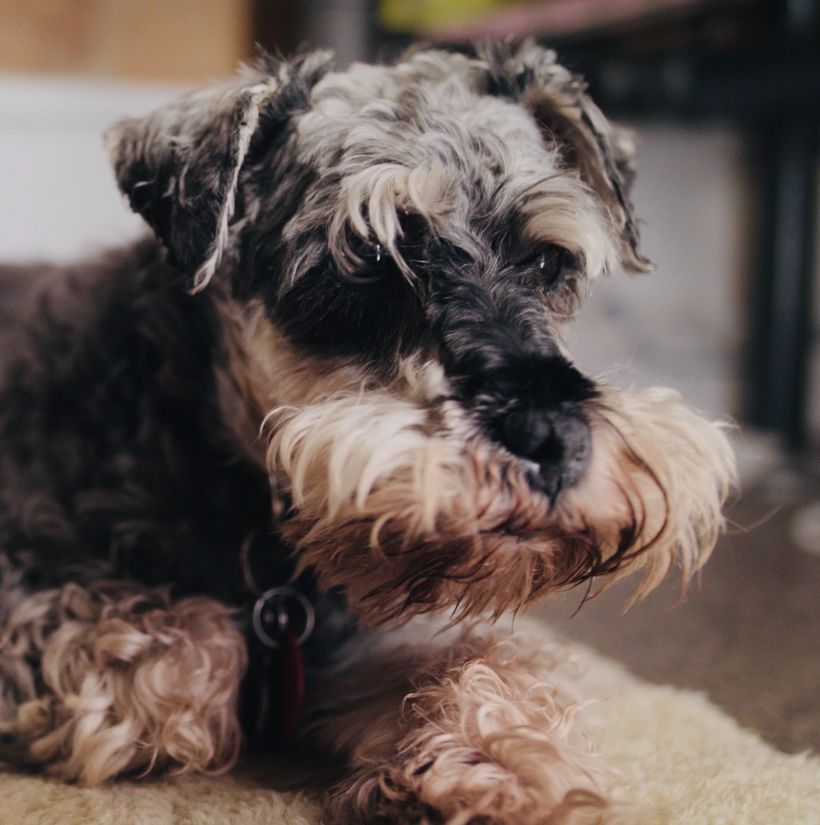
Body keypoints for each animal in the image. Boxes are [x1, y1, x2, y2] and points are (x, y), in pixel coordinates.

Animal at [0, 41, 732, 820]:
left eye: (547, 260)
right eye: (366, 263)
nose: (548, 439)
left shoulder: (385, 629)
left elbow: (491, 658)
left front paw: (503, 765)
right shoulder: (32, 588)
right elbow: (190, 650)